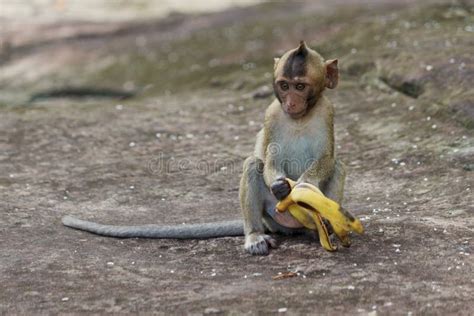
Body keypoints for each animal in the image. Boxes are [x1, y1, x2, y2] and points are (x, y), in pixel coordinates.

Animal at [62, 40, 344, 256]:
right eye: (284, 85)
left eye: (300, 86)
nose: (291, 103)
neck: (300, 118)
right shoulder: (272, 114)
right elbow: (268, 157)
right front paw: (281, 187)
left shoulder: (327, 111)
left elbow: (327, 158)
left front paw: (303, 186)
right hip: (271, 216)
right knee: (253, 165)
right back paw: (254, 236)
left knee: (338, 166)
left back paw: (323, 227)